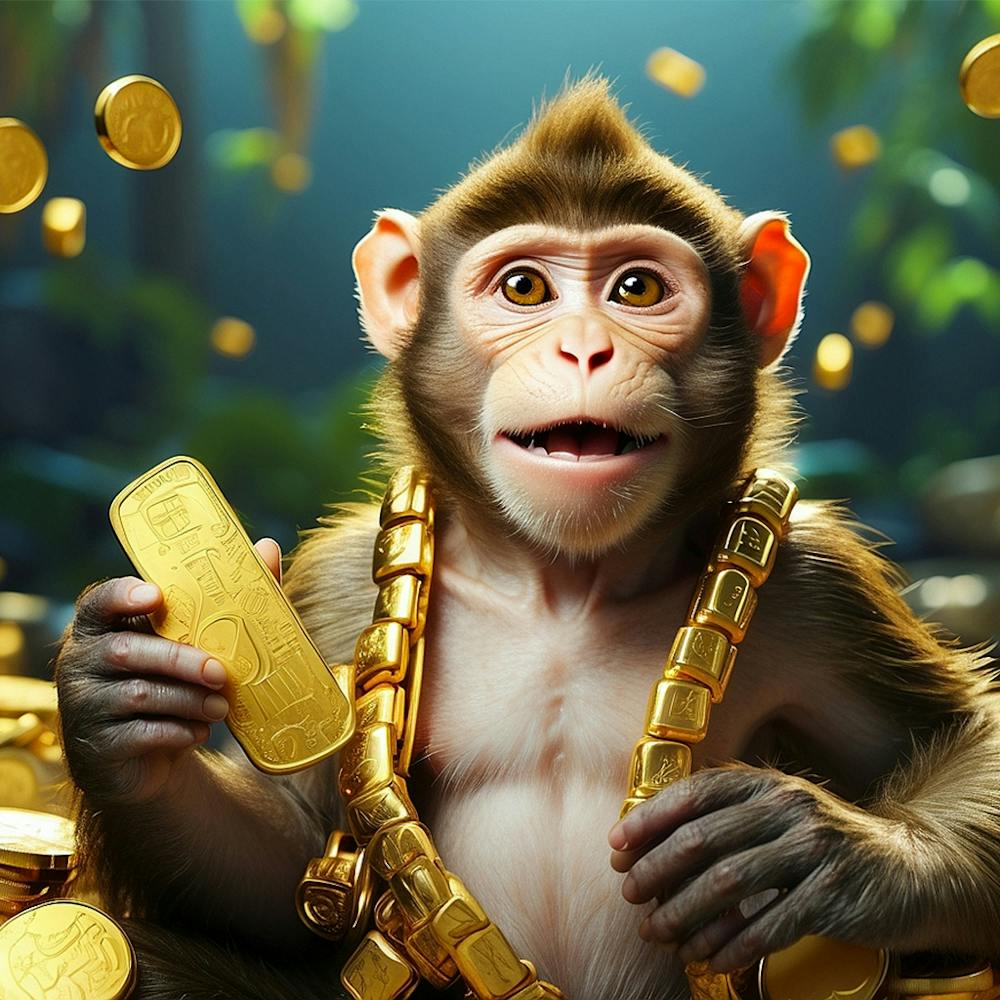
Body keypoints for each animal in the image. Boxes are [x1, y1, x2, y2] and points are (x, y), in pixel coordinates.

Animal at [53, 75, 1000, 1000]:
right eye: (525, 290)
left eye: (638, 290)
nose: (584, 350)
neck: (562, 579)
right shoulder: (334, 586)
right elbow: (275, 869)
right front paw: (117, 704)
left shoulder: (819, 586)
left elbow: (961, 736)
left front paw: (830, 851)